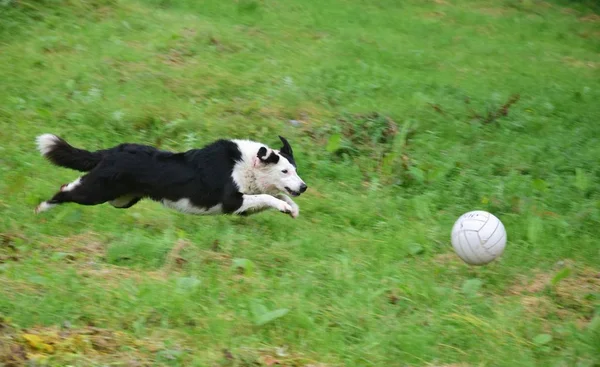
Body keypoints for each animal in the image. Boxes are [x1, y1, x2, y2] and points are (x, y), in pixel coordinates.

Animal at [36, 134, 310, 218]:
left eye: (295, 169)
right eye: (284, 170)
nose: (304, 187)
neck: (245, 165)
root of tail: (113, 150)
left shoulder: (244, 206)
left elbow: (276, 196)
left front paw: (292, 208)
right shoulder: (232, 201)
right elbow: (269, 197)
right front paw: (286, 207)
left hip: (121, 199)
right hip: (99, 191)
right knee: (66, 189)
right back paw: (41, 209)